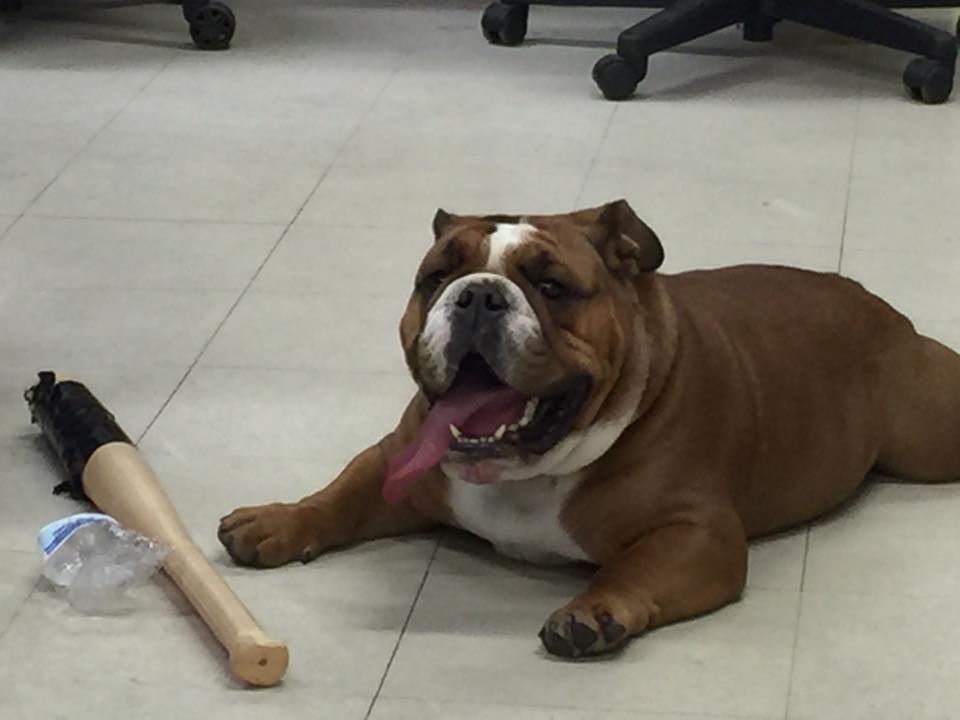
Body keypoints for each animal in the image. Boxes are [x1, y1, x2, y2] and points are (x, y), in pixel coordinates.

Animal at [218, 199, 960, 659]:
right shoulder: (397, 458)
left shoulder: (698, 532)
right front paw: (277, 521)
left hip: (928, 433)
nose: (477, 294)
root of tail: (881, 307)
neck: (525, 472)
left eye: (551, 286)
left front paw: (593, 612)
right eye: (434, 278)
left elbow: (633, 568)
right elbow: (340, 495)